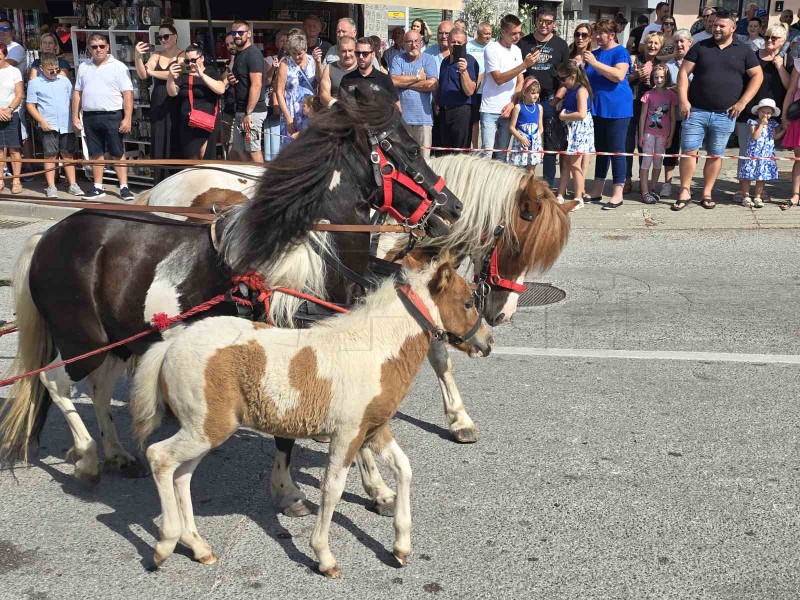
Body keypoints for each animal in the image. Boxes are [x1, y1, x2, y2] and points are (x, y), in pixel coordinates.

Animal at [0, 88, 462, 506]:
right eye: (407, 147)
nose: (452, 206)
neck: (313, 259)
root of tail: (48, 236)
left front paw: (376, 487)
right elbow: (288, 434)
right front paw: (288, 491)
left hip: (117, 339)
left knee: (98, 388)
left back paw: (116, 453)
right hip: (82, 340)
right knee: (56, 384)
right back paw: (89, 458)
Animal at [130, 262, 490, 576]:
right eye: (468, 302)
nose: (487, 343)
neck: (375, 351)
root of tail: (170, 345)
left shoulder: (374, 429)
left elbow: (404, 468)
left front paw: (400, 546)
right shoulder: (348, 433)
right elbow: (332, 489)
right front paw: (324, 557)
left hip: (204, 429)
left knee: (181, 476)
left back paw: (198, 546)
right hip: (205, 429)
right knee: (159, 457)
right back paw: (164, 544)